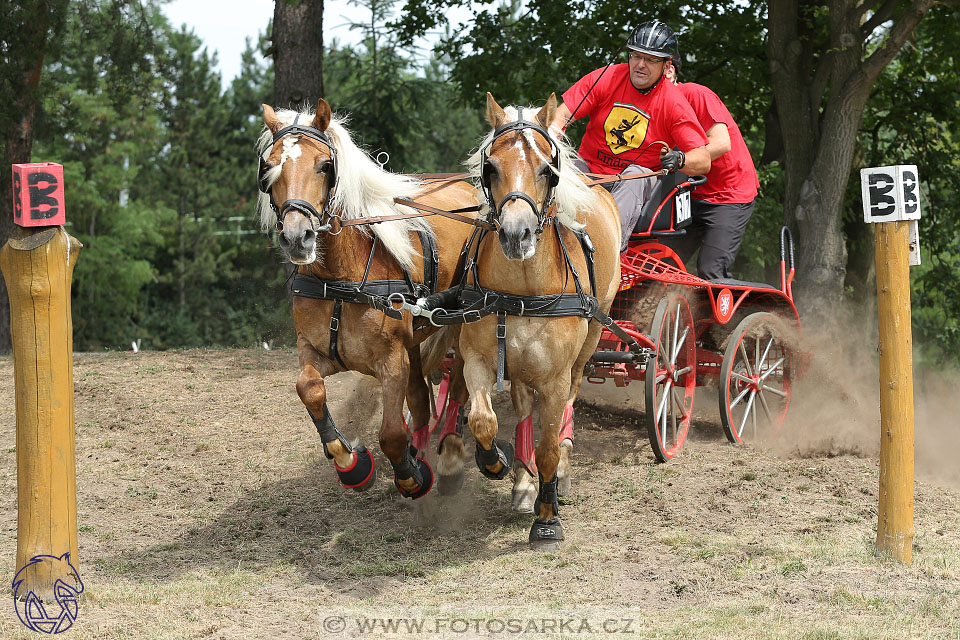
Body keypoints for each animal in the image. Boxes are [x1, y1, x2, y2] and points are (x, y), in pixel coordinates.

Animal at [256, 99, 478, 500]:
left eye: (325, 166)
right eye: (269, 167)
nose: (298, 238)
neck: (342, 277)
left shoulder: (392, 360)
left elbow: (390, 433)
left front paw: (410, 476)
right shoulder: (314, 349)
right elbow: (309, 389)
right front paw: (351, 463)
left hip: (462, 324)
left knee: (456, 388)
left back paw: (448, 455)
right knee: (421, 400)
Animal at [458, 95, 624, 552]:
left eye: (547, 170)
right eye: (490, 168)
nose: (518, 235)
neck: (524, 287)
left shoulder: (554, 376)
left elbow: (549, 444)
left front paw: (547, 519)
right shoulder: (477, 358)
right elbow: (483, 420)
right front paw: (496, 462)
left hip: (592, 338)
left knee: (570, 399)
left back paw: (558, 475)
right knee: (521, 407)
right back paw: (522, 479)